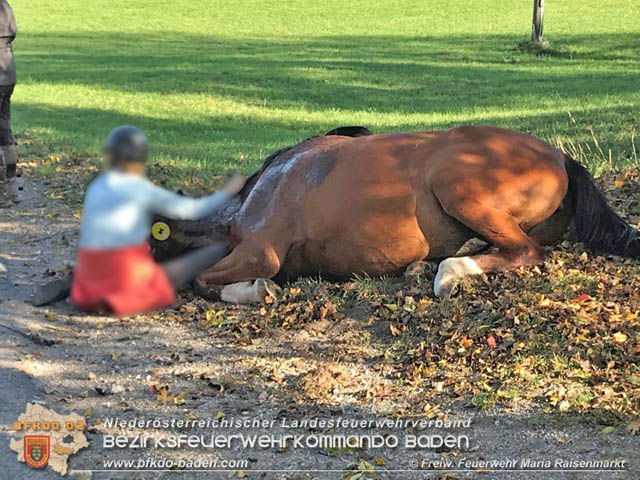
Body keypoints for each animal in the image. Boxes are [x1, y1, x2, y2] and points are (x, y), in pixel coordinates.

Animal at [151, 125, 640, 303]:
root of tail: (561, 158)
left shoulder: (260, 249)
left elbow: (206, 281)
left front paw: (255, 291)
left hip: (459, 188)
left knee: (524, 251)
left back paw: (448, 272)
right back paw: (427, 264)